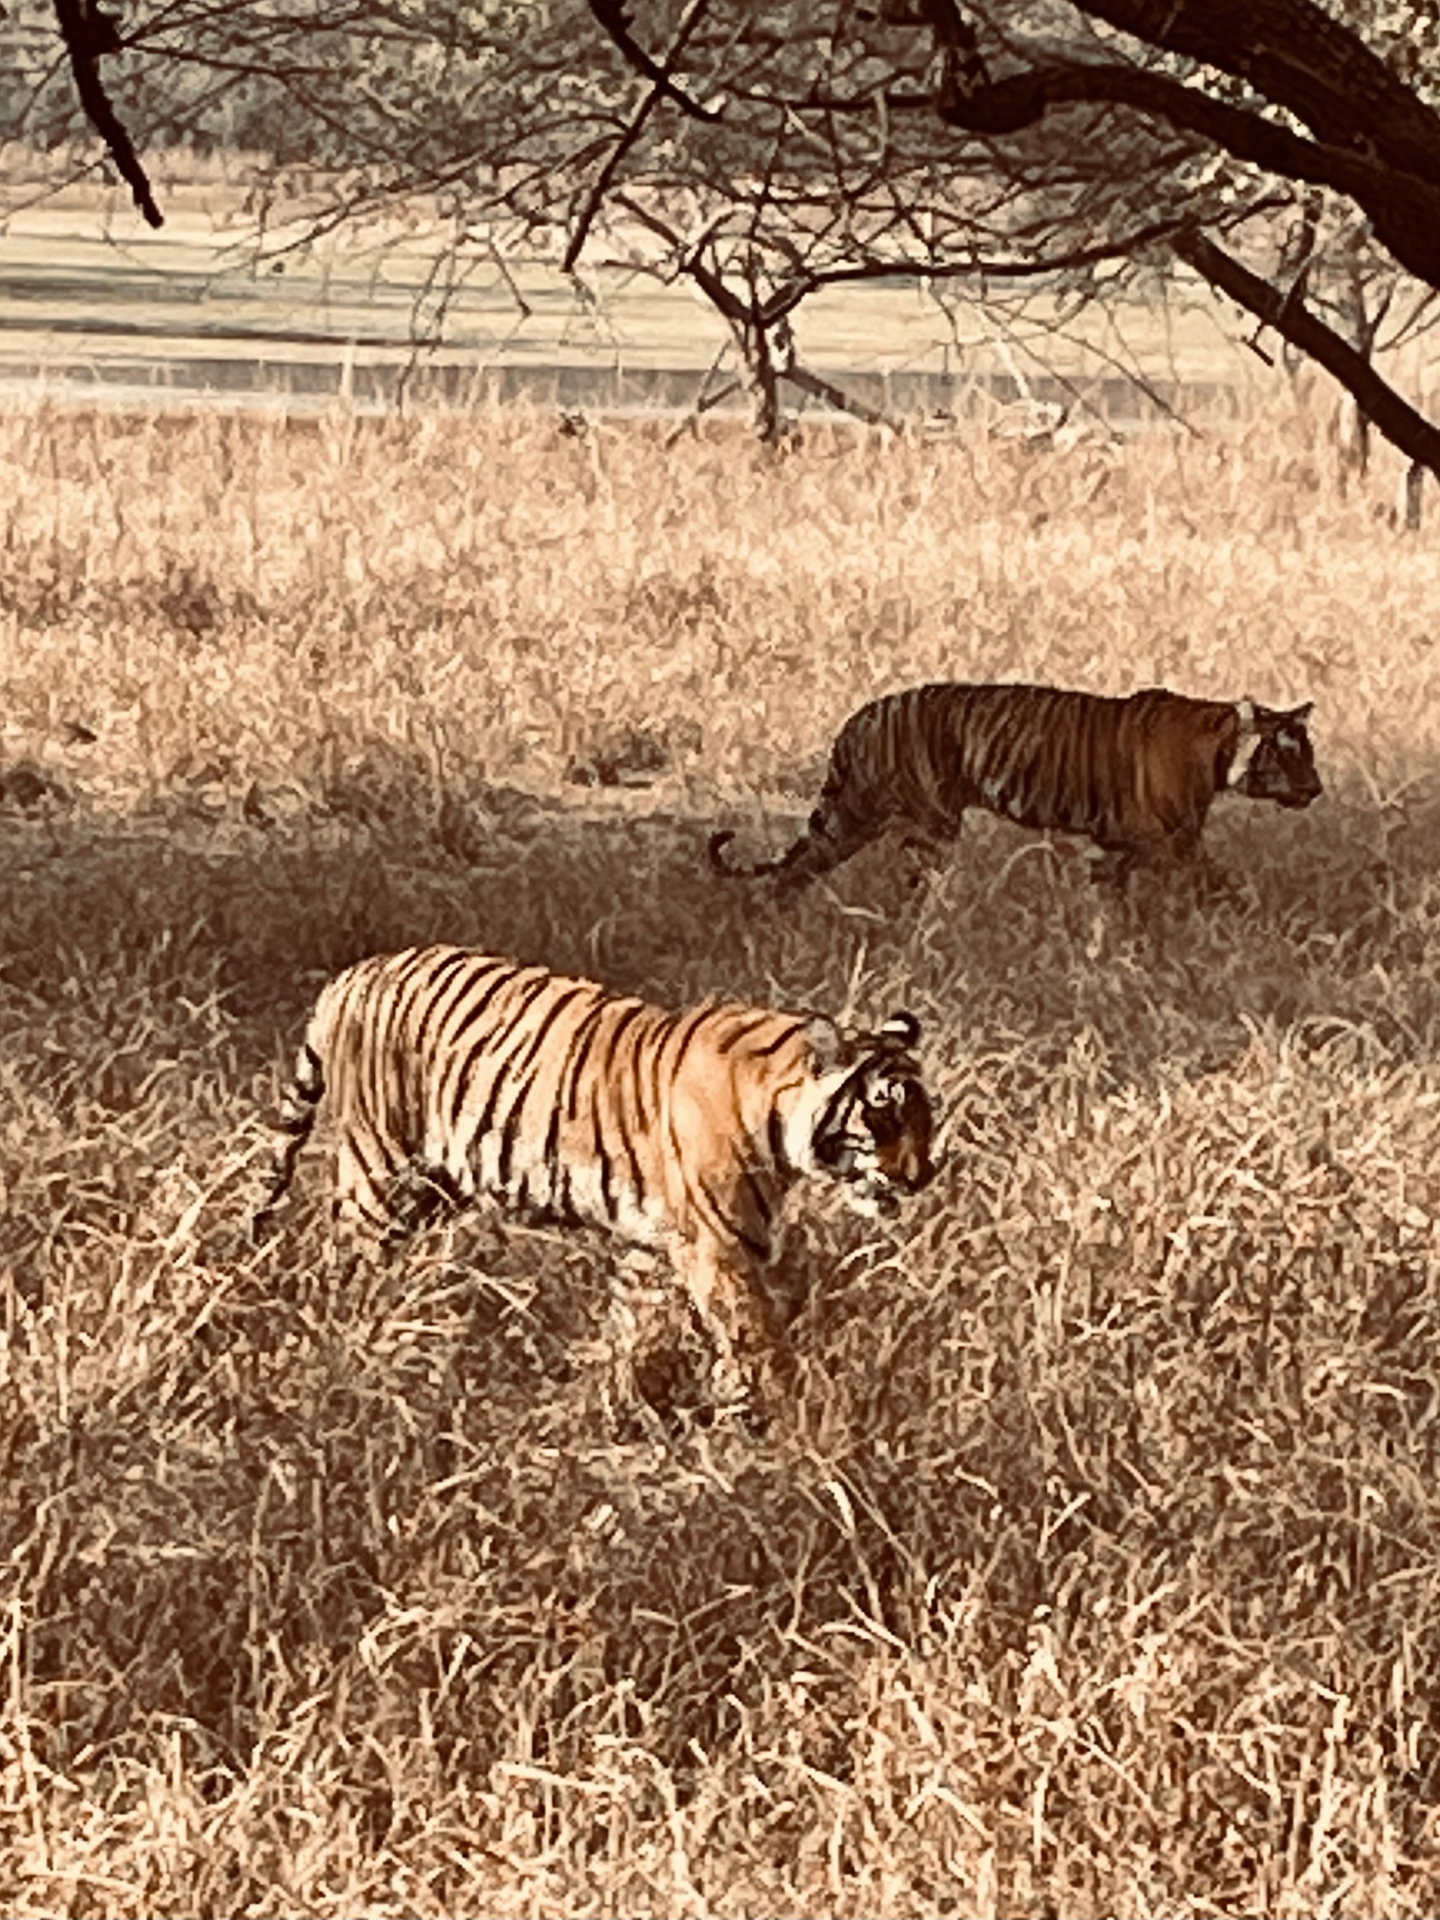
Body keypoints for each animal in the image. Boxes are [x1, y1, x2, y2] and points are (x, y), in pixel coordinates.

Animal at [253, 945, 937, 1410]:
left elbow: (630, 1325)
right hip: (380, 1173)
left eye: (927, 1113)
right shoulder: (718, 1246)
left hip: (432, 1186)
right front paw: (795, 1412)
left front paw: (603, 1392)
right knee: (344, 1262)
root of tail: (352, 975)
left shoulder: (652, 1243)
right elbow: (757, 1336)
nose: (926, 1174)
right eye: (884, 1109)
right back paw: (350, 1343)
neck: (775, 1118)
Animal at [709, 683, 1322, 892]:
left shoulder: (1123, 846)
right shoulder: (1174, 843)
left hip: (859, 818)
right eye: (1289, 753)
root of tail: (860, 717)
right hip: (926, 824)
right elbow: (1224, 885)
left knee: (798, 870)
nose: (1317, 789)